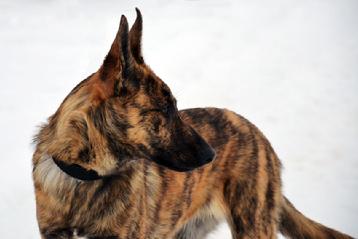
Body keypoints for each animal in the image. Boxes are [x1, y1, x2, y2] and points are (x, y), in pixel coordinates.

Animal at [32, 8, 354, 238]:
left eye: (176, 106)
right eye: (165, 109)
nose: (212, 155)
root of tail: (258, 134)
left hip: (253, 224)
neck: (84, 177)